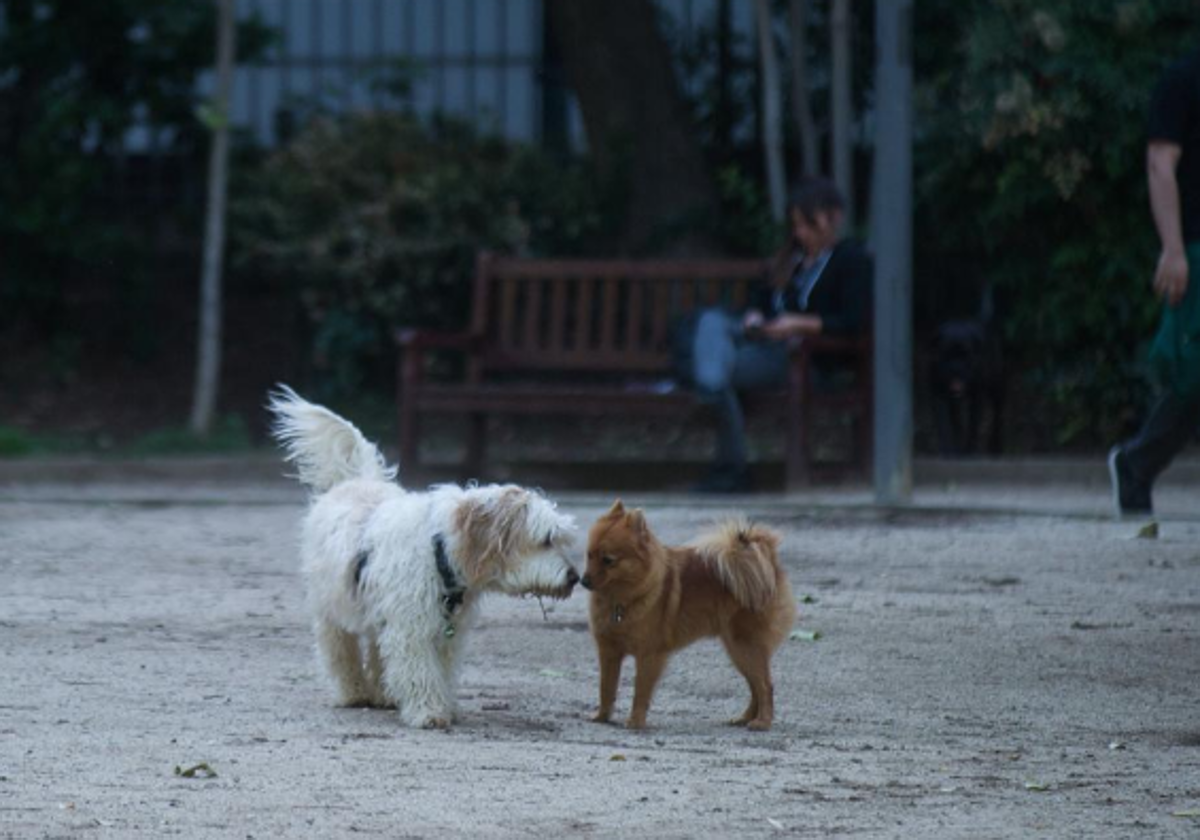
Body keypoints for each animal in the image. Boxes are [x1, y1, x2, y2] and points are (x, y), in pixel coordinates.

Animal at [270, 386, 578, 729]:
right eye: (546, 540)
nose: (575, 577)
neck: (439, 550)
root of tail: (356, 481)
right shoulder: (411, 628)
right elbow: (419, 671)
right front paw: (429, 711)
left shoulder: (444, 633)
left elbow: (438, 670)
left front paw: (442, 705)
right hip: (332, 608)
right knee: (340, 650)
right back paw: (353, 691)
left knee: (377, 652)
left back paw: (384, 694)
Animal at [583, 501, 796, 729]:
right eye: (589, 555)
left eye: (608, 560)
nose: (583, 581)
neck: (620, 600)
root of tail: (768, 563)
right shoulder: (609, 652)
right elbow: (606, 689)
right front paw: (602, 716)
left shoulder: (649, 655)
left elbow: (640, 692)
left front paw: (636, 721)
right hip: (738, 651)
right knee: (755, 686)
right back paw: (745, 718)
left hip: (745, 647)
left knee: (765, 686)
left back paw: (762, 721)